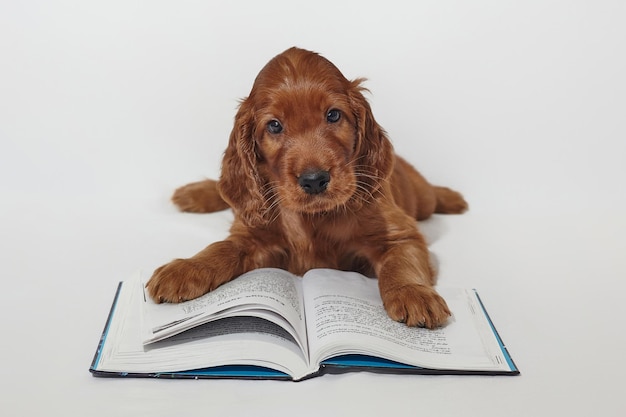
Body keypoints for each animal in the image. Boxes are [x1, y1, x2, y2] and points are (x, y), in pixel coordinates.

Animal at [145, 47, 464, 328]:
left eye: (333, 115)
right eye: (274, 126)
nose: (314, 180)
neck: (314, 218)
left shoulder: (400, 233)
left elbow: (401, 263)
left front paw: (414, 294)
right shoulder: (253, 234)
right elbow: (221, 248)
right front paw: (186, 268)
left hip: (420, 197)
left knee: (430, 195)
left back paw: (453, 197)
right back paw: (193, 193)